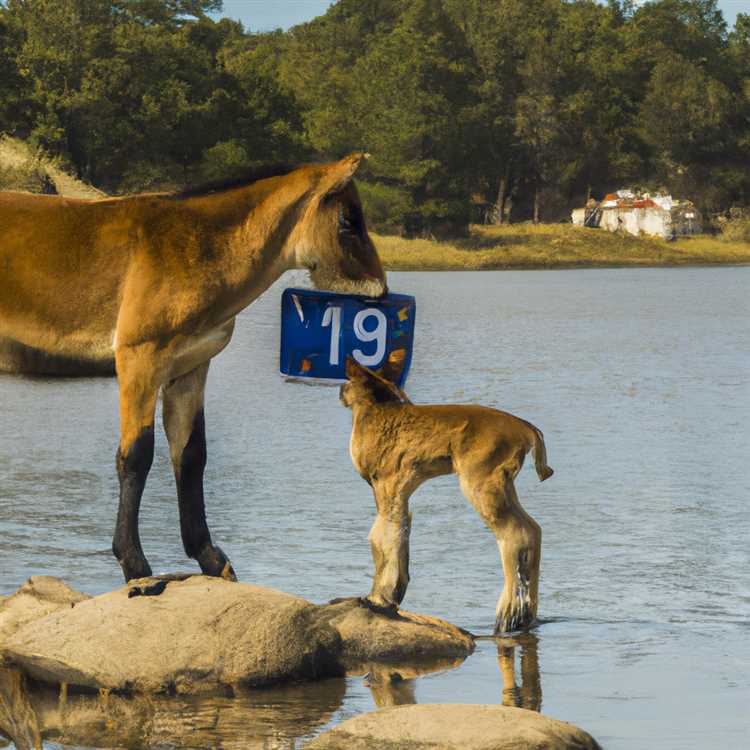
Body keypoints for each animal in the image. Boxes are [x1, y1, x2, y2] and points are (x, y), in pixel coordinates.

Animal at [0, 156, 384, 584]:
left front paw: (211, 558)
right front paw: (135, 564)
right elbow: (136, 454)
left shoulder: (191, 366)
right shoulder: (139, 358)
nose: (380, 287)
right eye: (348, 219)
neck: (201, 245)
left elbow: (190, 454)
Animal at [340, 358, 552, 636]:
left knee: (515, 533)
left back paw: (506, 614)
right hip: (503, 483)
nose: (340, 391)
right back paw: (526, 616)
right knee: (534, 528)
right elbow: (399, 535)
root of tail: (530, 431)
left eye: (347, 381)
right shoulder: (398, 488)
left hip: (481, 480)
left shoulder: (385, 482)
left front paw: (379, 596)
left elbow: (382, 538)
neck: (370, 410)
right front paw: (394, 593)